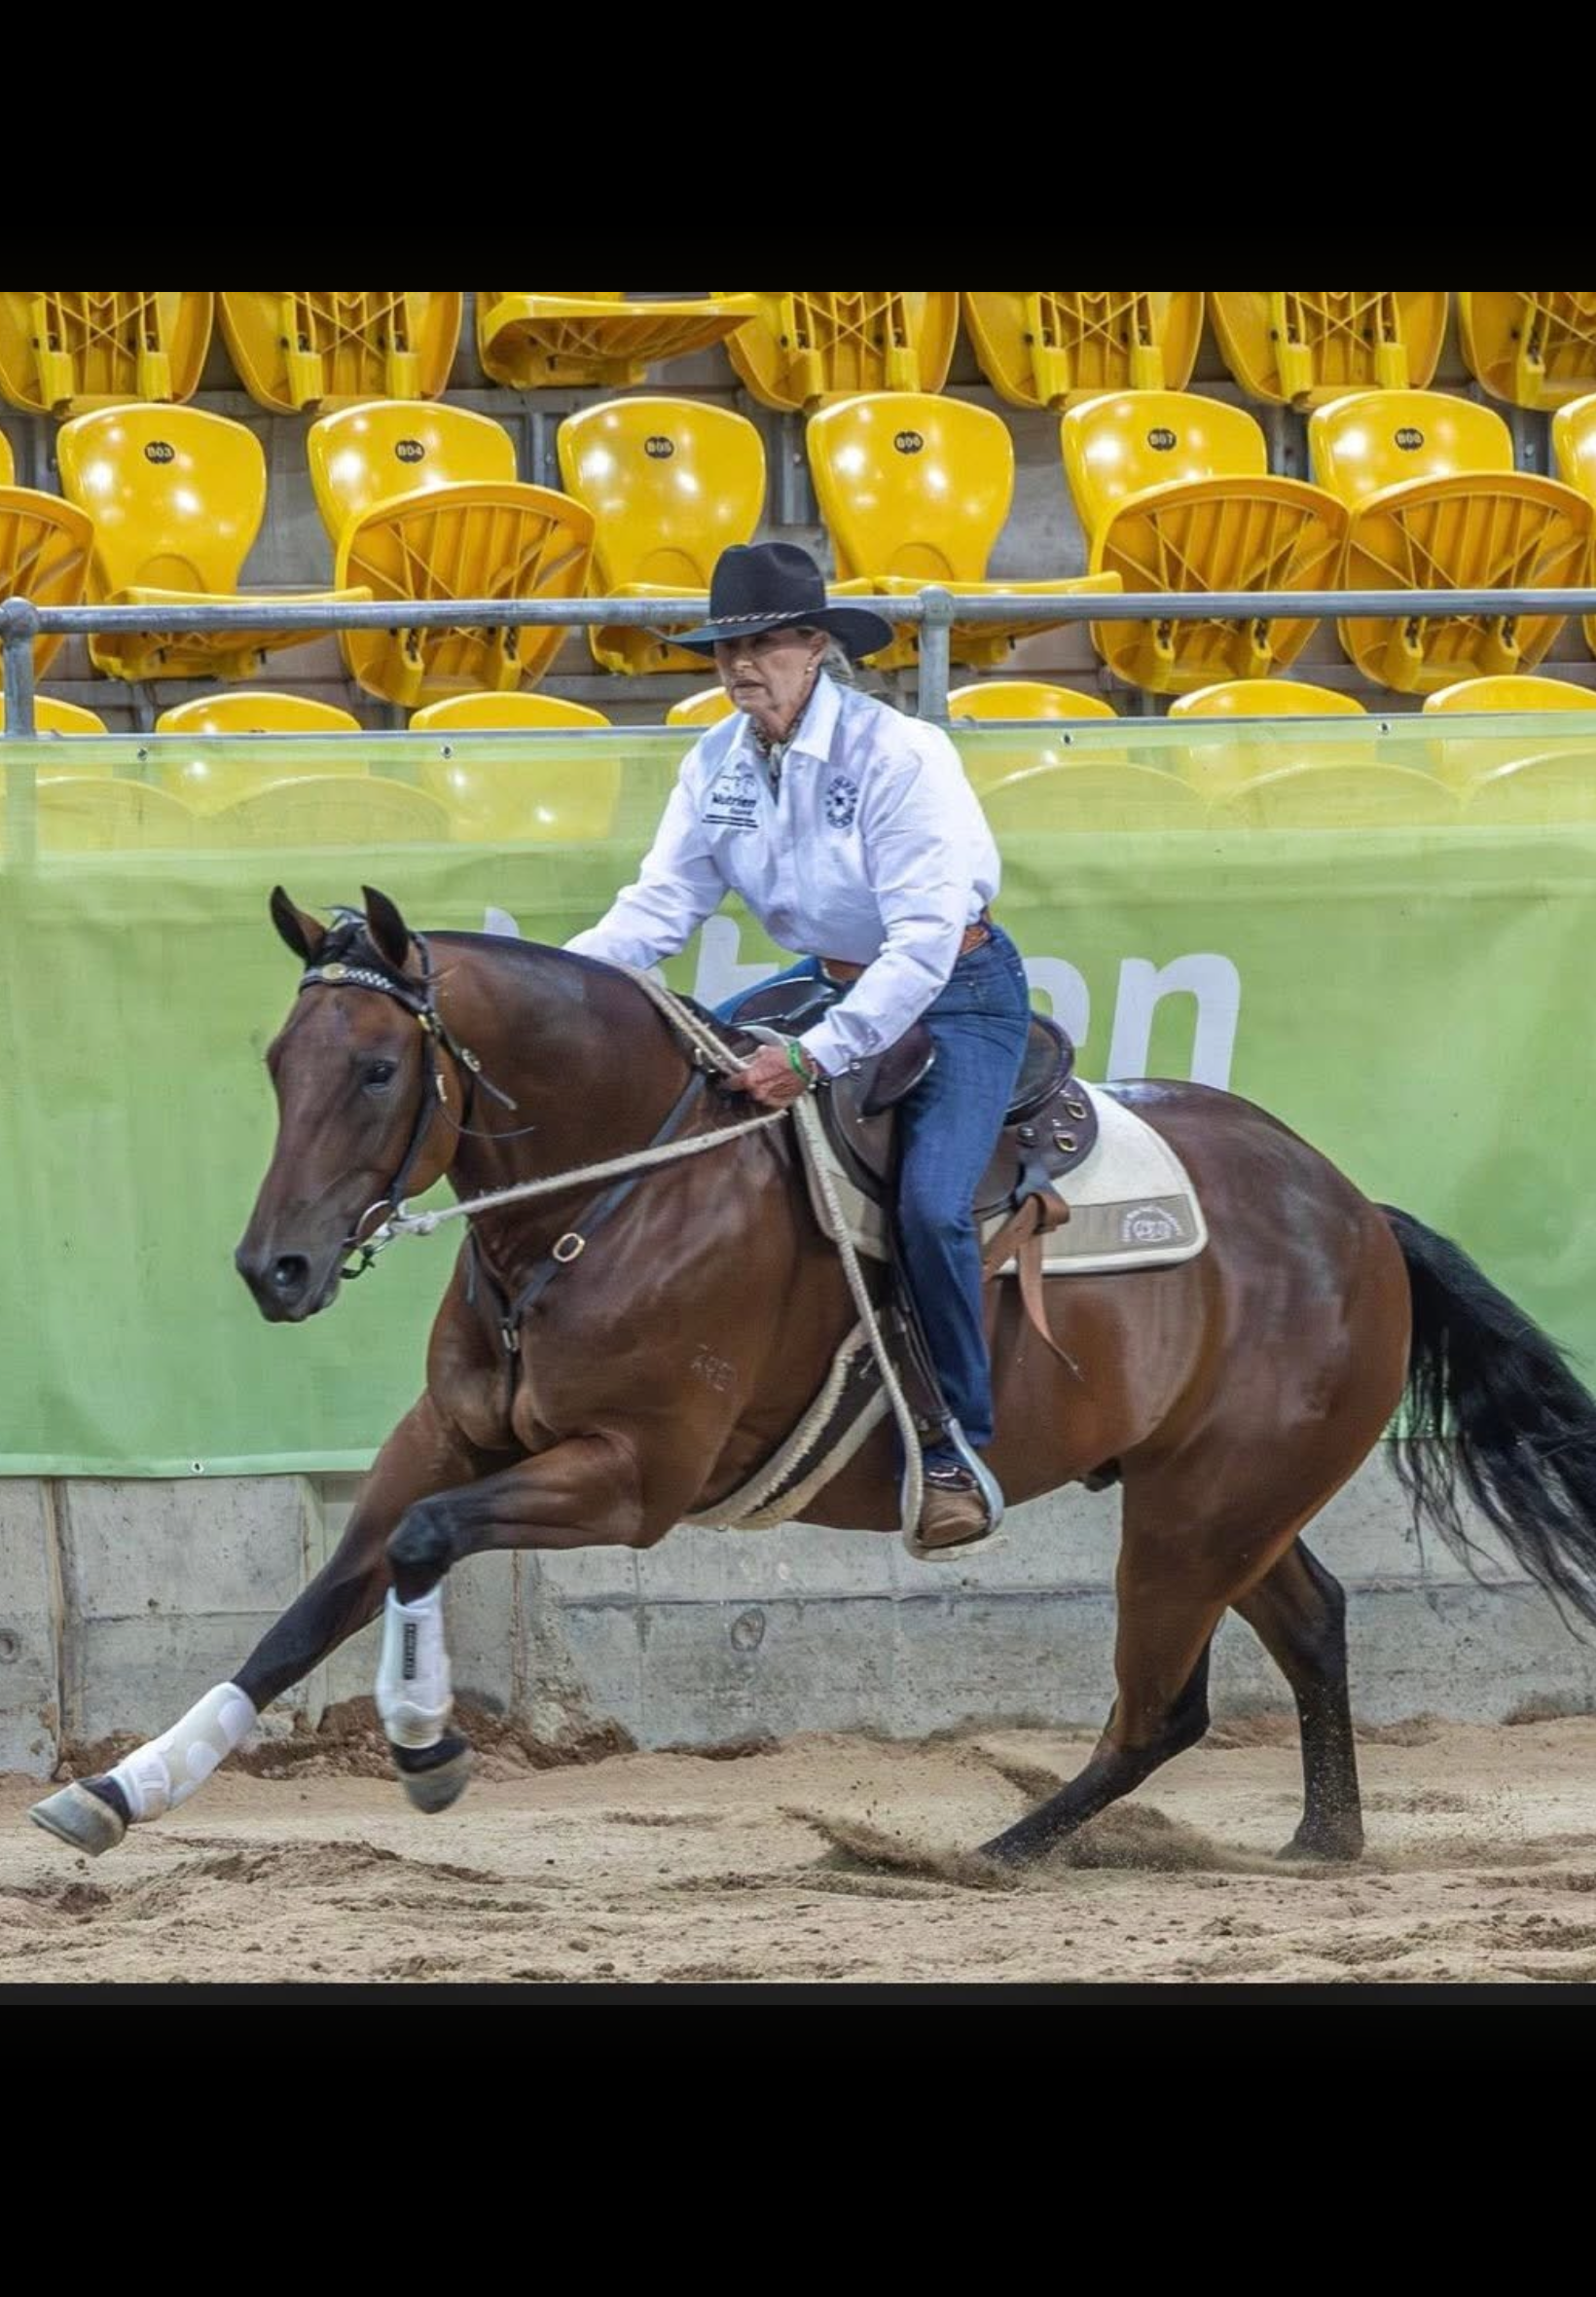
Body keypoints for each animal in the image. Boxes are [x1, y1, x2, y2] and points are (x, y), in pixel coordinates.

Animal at [30, 884, 1596, 1867]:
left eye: (373, 1070)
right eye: (278, 1058)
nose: (274, 1268)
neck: (614, 1192)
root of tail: (1355, 1212)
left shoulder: (633, 1481)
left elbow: (416, 1549)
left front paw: (425, 1750)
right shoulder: (446, 1440)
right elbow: (311, 1607)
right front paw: (114, 1790)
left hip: (1197, 1513)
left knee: (1163, 1707)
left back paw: (978, 1855)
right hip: (1223, 1499)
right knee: (1314, 1622)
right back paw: (1318, 1841)